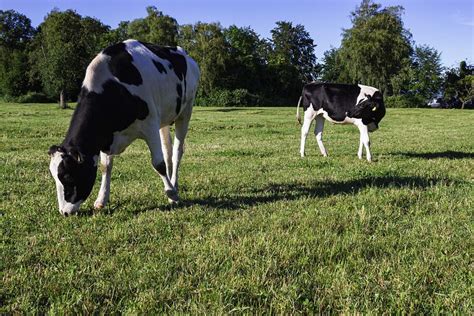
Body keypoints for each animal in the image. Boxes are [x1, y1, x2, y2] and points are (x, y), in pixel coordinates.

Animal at [46, 39, 198, 216]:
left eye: (68, 177)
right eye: (55, 177)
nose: (64, 212)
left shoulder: (150, 125)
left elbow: (158, 164)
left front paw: (172, 194)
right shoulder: (106, 136)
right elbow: (105, 167)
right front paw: (101, 200)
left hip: (185, 111)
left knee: (176, 152)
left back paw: (174, 186)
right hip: (164, 118)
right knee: (168, 151)